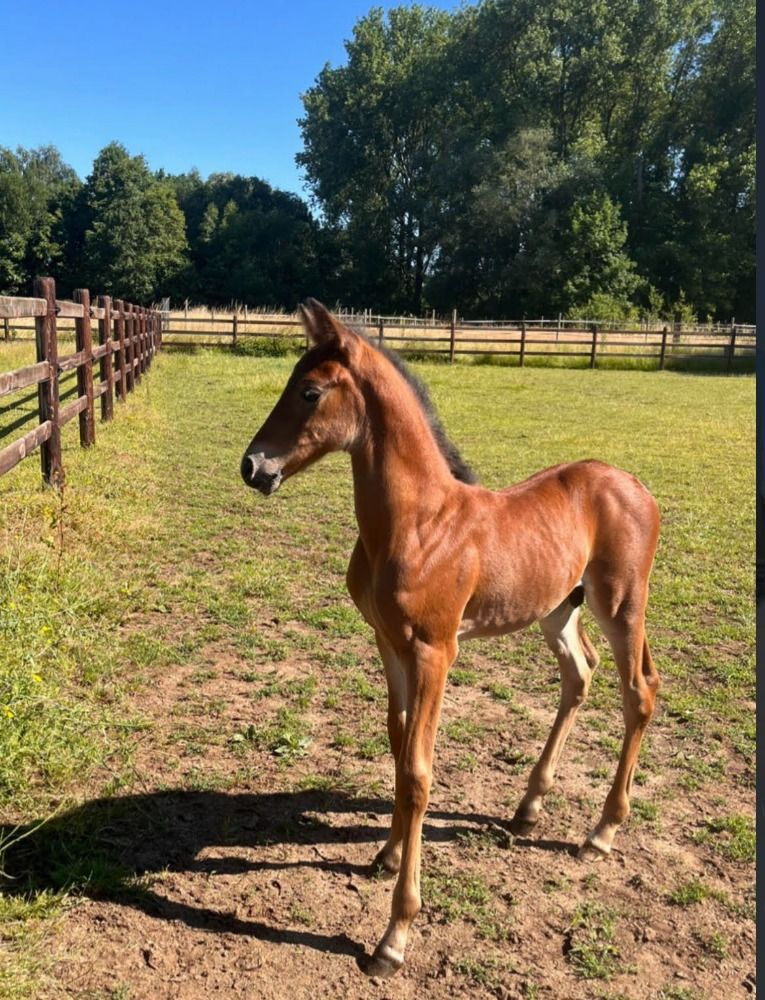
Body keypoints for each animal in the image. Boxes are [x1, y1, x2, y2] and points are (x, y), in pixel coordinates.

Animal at [240, 300, 661, 978]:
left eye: (309, 392)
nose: (252, 467)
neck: (419, 523)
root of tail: (635, 484)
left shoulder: (436, 651)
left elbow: (418, 771)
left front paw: (394, 936)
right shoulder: (388, 643)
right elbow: (396, 743)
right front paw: (386, 852)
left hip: (621, 604)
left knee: (638, 693)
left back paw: (600, 833)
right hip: (557, 609)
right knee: (580, 675)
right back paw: (528, 808)